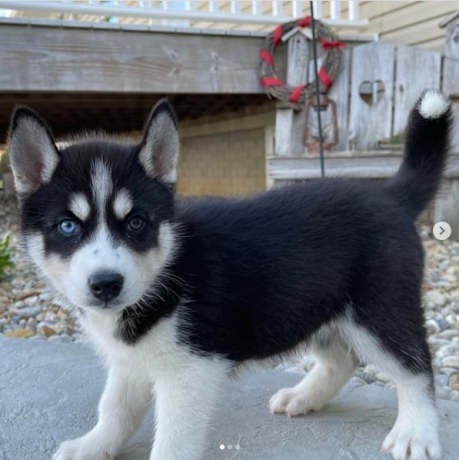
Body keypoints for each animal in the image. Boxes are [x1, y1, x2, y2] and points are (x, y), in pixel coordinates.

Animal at [7, 90, 452, 460]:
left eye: (136, 223)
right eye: (67, 226)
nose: (105, 284)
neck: (167, 268)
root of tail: (390, 195)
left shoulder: (192, 372)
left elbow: (172, 439)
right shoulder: (129, 360)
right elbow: (115, 407)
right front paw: (94, 445)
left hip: (379, 310)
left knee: (415, 368)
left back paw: (415, 432)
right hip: (312, 307)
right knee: (342, 360)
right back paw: (304, 396)